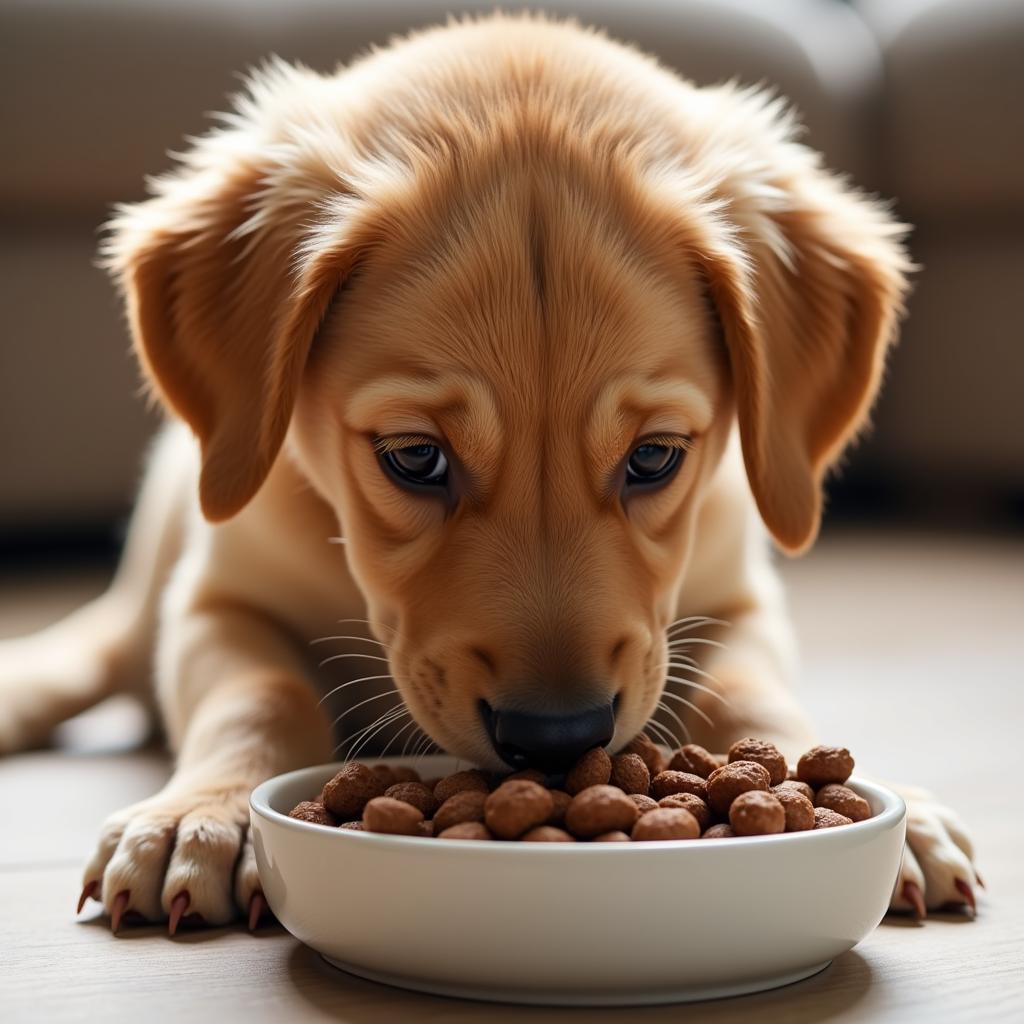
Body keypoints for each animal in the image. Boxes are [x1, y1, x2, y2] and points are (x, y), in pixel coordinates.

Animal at [0, 14, 974, 929]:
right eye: (414, 458)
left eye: (654, 457)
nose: (558, 739)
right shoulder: (217, 598)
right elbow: (261, 695)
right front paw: (205, 816)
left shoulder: (738, 597)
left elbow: (748, 696)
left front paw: (897, 817)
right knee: (87, 652)